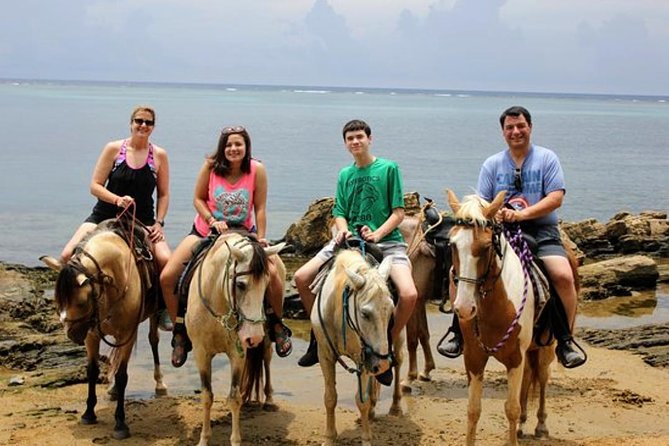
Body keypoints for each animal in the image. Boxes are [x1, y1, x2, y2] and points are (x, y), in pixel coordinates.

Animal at [39, 220, 166, 440]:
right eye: (58, 300)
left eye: (82, 302)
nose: (72, 335)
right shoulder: (91, 335)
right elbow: (92, 370)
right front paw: (88, 413)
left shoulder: (127, 333)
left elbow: (123, 376)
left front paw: (120, 423)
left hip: (152, 315)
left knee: (153, 340)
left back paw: (159, 383)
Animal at [185, 232, 284, 446]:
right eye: (240, 284)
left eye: (267, 284)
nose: (253, 337)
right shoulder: (201, 353)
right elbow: (207, 396)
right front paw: (204, 438)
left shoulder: (237, 354)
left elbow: (234, 397)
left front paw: (236, 439)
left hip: (265, 341)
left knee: (267, 358)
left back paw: (269, 399)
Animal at [310, 249, 400, 446]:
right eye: (364, 313)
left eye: (391, 311)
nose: (383, 365)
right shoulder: (325, 355)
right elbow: (330, 397)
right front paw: (330, 437)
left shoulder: (363, 359)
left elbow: (361, 401)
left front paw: (366, 438)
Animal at [446, 191, 556, 446]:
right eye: (452, 244)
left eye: (486, 246)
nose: (464, 308)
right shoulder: (474, 357)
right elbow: (473, 410)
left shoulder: (515, 357)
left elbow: (511, 409)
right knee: (529, 378)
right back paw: (523, 426)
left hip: (546, 347)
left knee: (542, 378)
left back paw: (541, 425)